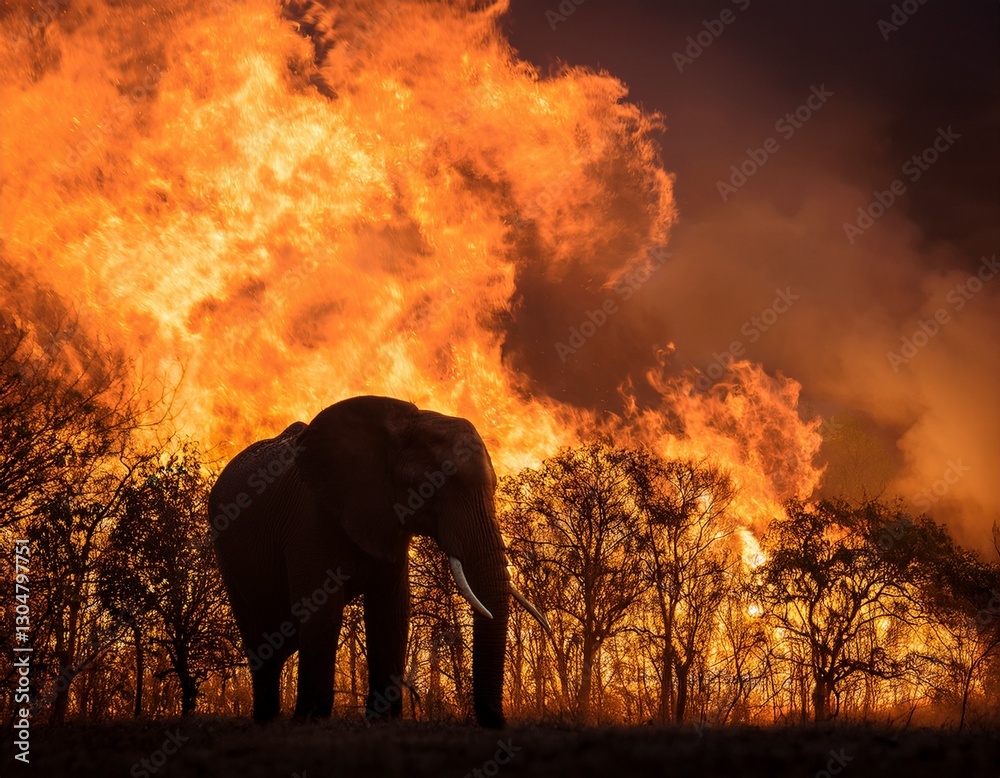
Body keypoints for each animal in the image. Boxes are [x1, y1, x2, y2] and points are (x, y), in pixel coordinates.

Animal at [208, 395, 549, 728]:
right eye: (434, 486)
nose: (495, 722)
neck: (404, 424)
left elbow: (392, 610)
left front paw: (383, 721)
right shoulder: (308, 518)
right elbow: (322, 609)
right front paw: (311, 721)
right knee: (261, 637)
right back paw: (267, 720)